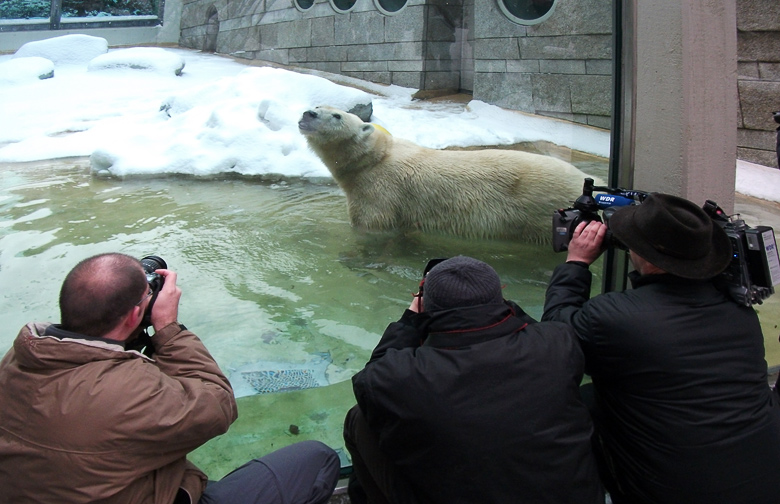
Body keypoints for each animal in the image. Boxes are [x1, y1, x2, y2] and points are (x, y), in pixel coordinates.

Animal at [298, 105, 596, 242]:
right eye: (318, 105)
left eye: (337, 115)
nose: (307, 113)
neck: (375, 157)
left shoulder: (379, 192)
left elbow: (373, 226)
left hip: (540, 211)